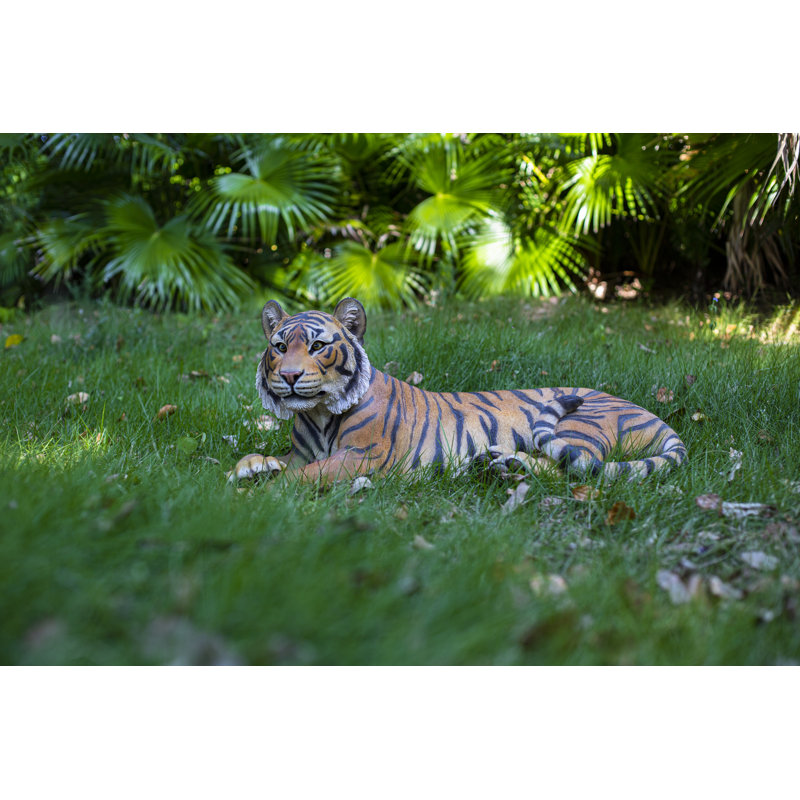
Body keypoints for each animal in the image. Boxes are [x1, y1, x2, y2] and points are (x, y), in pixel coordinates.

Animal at [229, 297, 687, 485]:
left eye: (318, 346)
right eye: (280, 347)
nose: (289, 376)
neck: (319, 413)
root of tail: (648, 411)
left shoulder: (361, 457)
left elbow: (304, 476)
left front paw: (261, 494)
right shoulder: (302, 452)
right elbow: (262, 458)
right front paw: (248, 468)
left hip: (581, 423)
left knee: (571, 466)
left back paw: (504, 464)